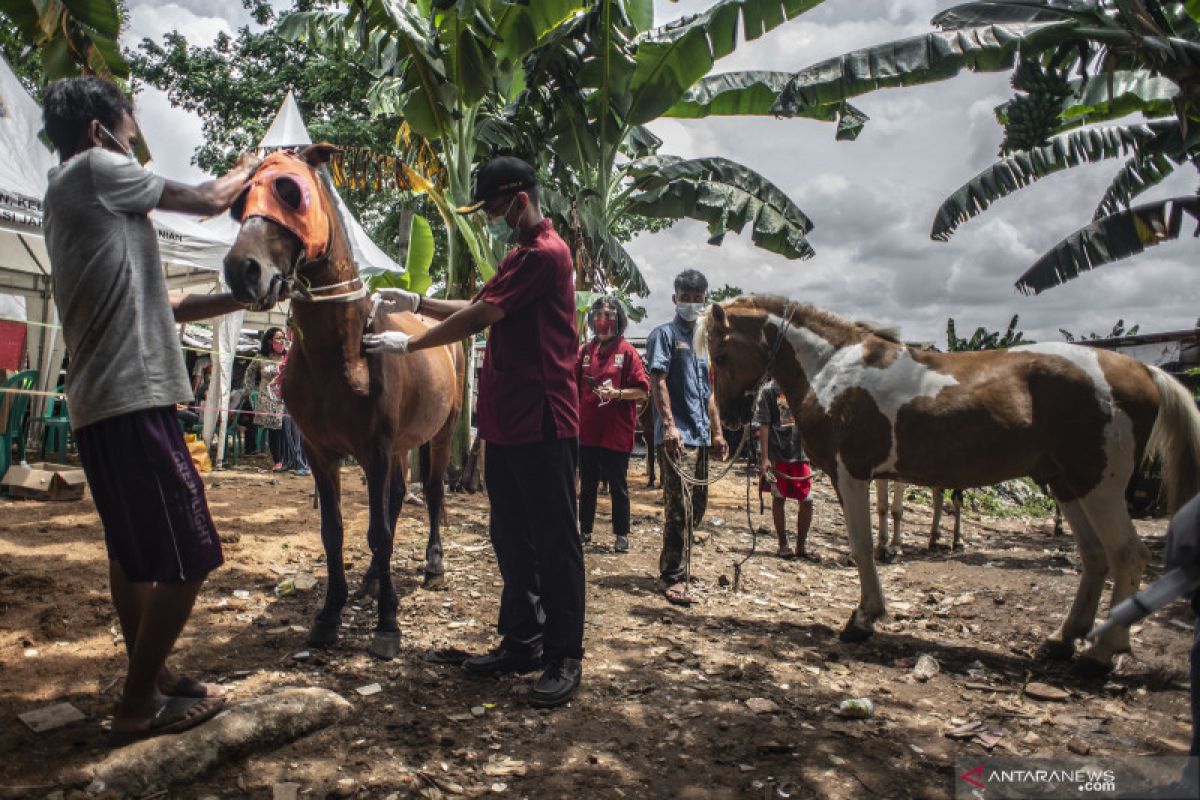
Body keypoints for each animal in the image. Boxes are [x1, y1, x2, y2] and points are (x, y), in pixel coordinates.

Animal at [220, 146, 463, 662]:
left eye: (290, 191)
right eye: (238, 203)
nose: (242, 270)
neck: (341, 354)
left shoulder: (374, 450)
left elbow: (380, 532)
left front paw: (387, 623)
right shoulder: (320, 452)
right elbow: (335, 532)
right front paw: (330, 614)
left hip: (441, 433)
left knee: (431, 494)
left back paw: (432, 566)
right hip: (399, 446)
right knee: (396, 498)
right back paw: (372, 578)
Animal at [700, 296, 1200, 671]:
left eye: (721, 354)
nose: (730, 420)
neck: (833, 367)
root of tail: (1144, 370)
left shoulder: (851, 473)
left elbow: (862, 547)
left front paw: (863, 618)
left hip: (1099, 485)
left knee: (1126, 555)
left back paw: (1102, 651)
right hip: (1067, 484)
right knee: (1094, 557)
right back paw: (1063, 640)